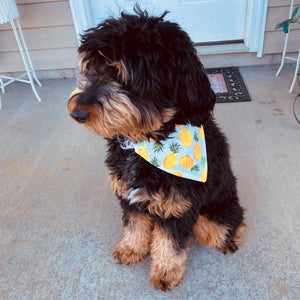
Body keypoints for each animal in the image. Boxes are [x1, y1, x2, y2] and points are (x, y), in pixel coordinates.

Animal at [68, 7, 246, 292]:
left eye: (122, 76)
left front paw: (165, 272)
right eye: (92, 68)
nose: (77, 113)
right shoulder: (128, 194)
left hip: (215, 215)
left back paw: (232, 238)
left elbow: (170, 244)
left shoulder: (178, 207)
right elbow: (135, 224)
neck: (146, 144)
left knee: (228, 225)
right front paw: (131, 248)